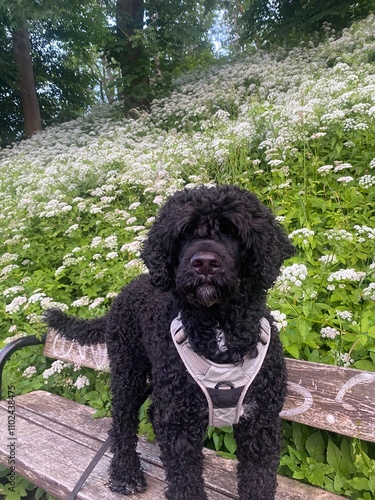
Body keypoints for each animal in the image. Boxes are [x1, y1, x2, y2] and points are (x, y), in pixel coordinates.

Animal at [44, 187, 296, 500]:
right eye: (184, 233)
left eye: (232, 231)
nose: (204, 262)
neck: (219, 331)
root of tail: (127, 289)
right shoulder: (180, 426)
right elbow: (185, 482)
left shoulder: (260, 423)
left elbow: (258, 480)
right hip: (128, 371)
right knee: (121, 422)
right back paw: (125, 472)